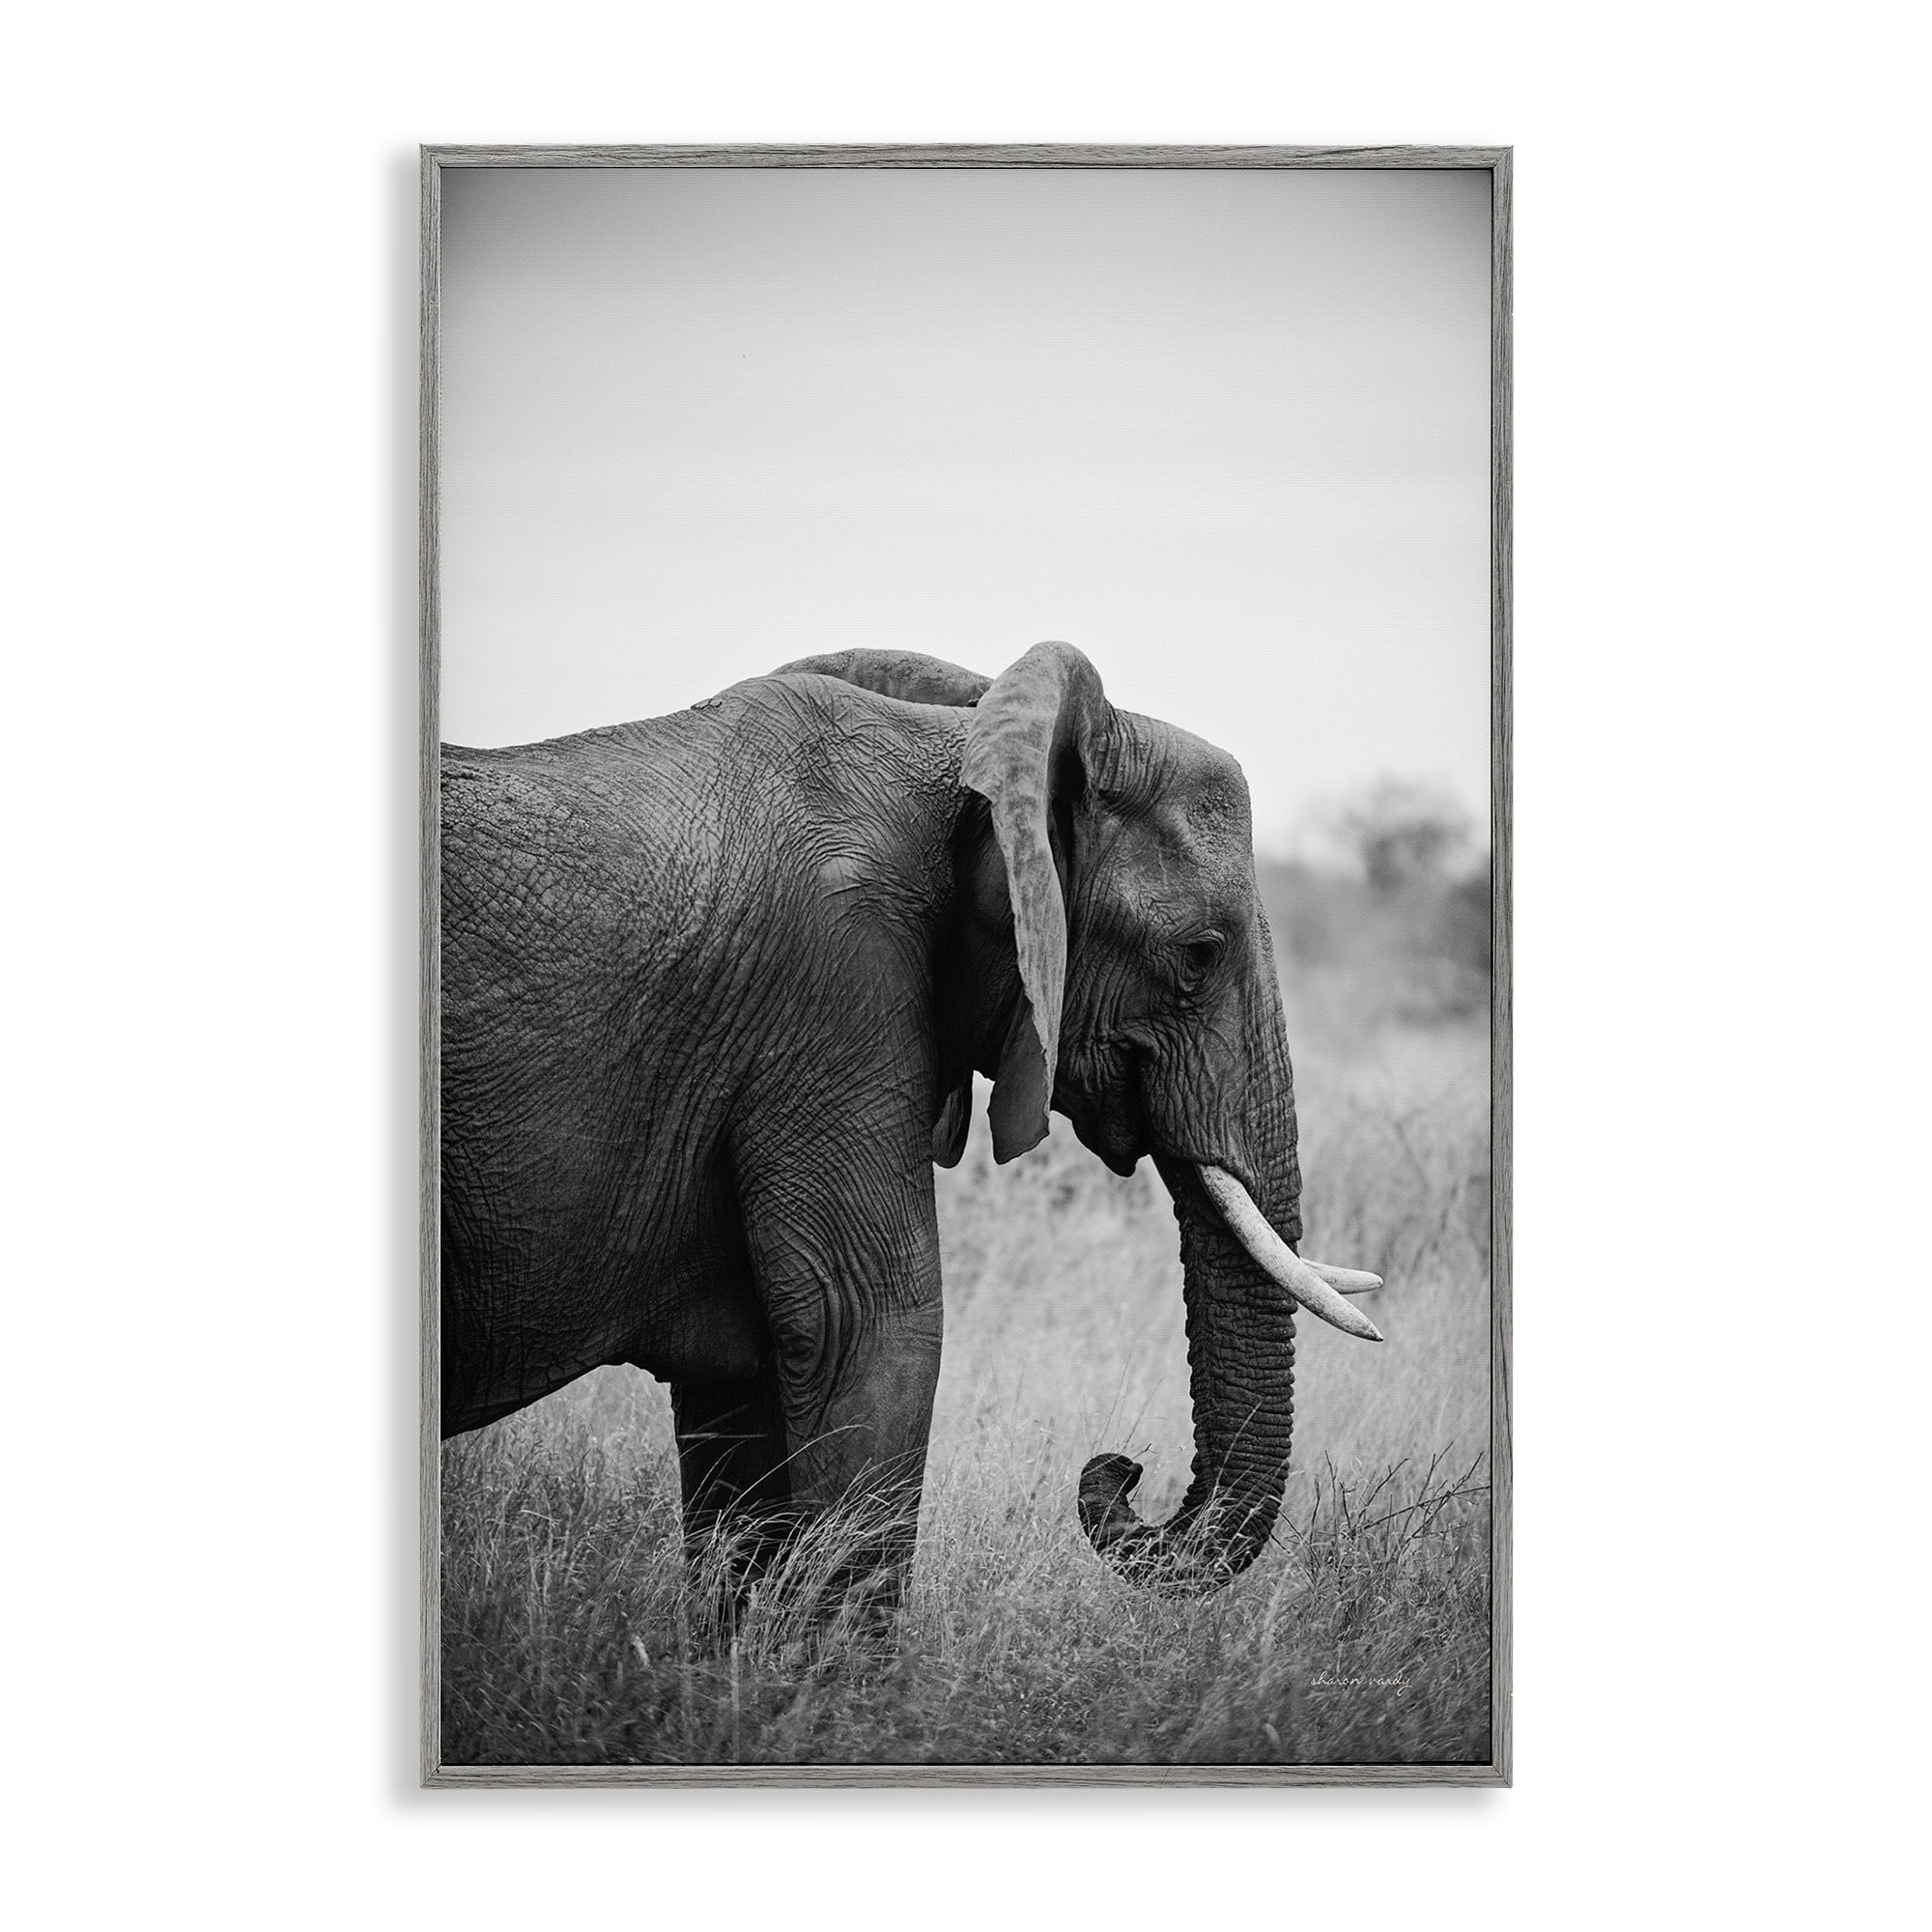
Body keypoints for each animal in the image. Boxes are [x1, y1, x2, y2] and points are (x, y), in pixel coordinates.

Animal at [438, 641, 1383, 1599]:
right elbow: (867, 1328)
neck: (962, 760)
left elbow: (746, 1386)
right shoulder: (831, 988)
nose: (1120, 1468)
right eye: (1199, 955)